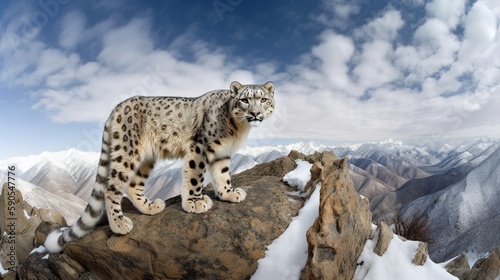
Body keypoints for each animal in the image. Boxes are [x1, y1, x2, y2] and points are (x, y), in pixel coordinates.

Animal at [44, 80, 276, 253]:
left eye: (263, 99)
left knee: (133, 185)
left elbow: (223, 175)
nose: (256, 113)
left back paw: (150, 207)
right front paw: (195, 202)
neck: (238, 129)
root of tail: (115, 109)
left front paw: (229, 193)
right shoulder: (200, 147)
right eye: (245, 100)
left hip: (146, 158)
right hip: (126, 153)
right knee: (112, 187)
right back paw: (120, 224)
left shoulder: (222, 154)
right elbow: (196, 176)